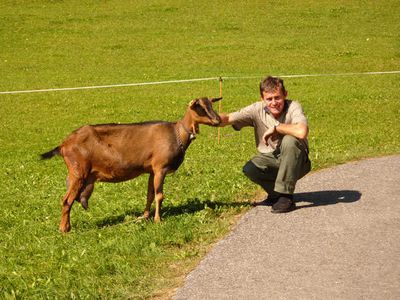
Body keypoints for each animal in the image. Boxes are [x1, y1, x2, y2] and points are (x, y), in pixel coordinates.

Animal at [41, 97, 222, 233]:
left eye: (211, 105)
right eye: (200, 107)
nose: (218, 120)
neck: (176, 133)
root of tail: (63, 145)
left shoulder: (151, 170)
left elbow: (150, 194)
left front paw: (145, 216)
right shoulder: (160, 168)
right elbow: (160, 195)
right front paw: (158, 220)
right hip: (78, 172)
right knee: (66, 200)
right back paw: (64, 229)